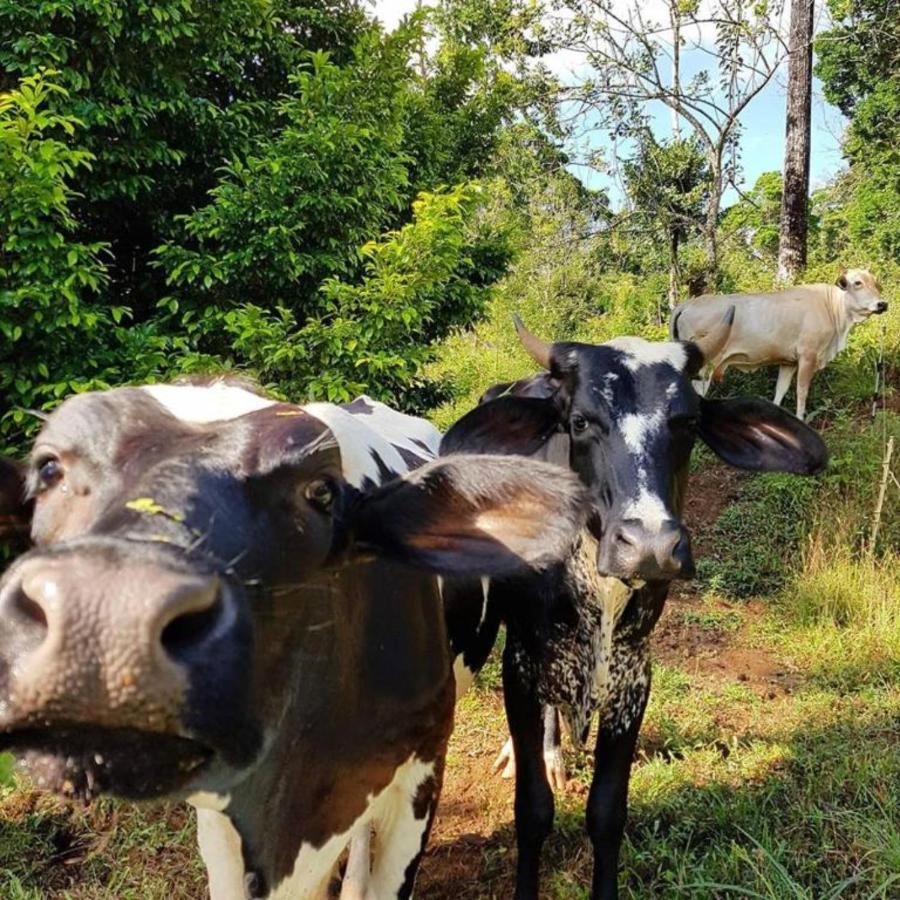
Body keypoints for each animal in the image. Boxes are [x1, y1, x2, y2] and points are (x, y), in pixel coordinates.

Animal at [442, 312, 828, 900]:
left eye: (687, 422)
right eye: (579, 421)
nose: (650, 545)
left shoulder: (634, 676)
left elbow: (607, 812)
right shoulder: (523, 663)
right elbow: (532, 811)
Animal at [672, 268, 888, 420]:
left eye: (876, 283)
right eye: (857, 283)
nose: (882, 304)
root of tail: (689, 303)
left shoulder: (788, 362)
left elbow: (780, 391)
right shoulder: (808, 356)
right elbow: (802, 391)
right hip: (704, 368)